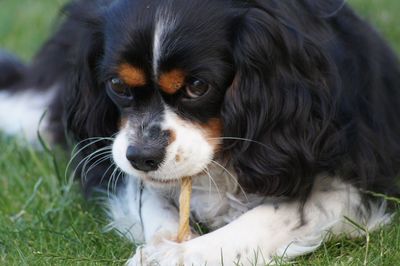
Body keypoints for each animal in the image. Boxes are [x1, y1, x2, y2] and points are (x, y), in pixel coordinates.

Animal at [0, 0, 400, 264]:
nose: (142, 156)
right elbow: (151, 203)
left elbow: (270, 218)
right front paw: (163, 246)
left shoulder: (355, 181)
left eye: (197, 86)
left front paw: (178, 255)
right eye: (117, 84)